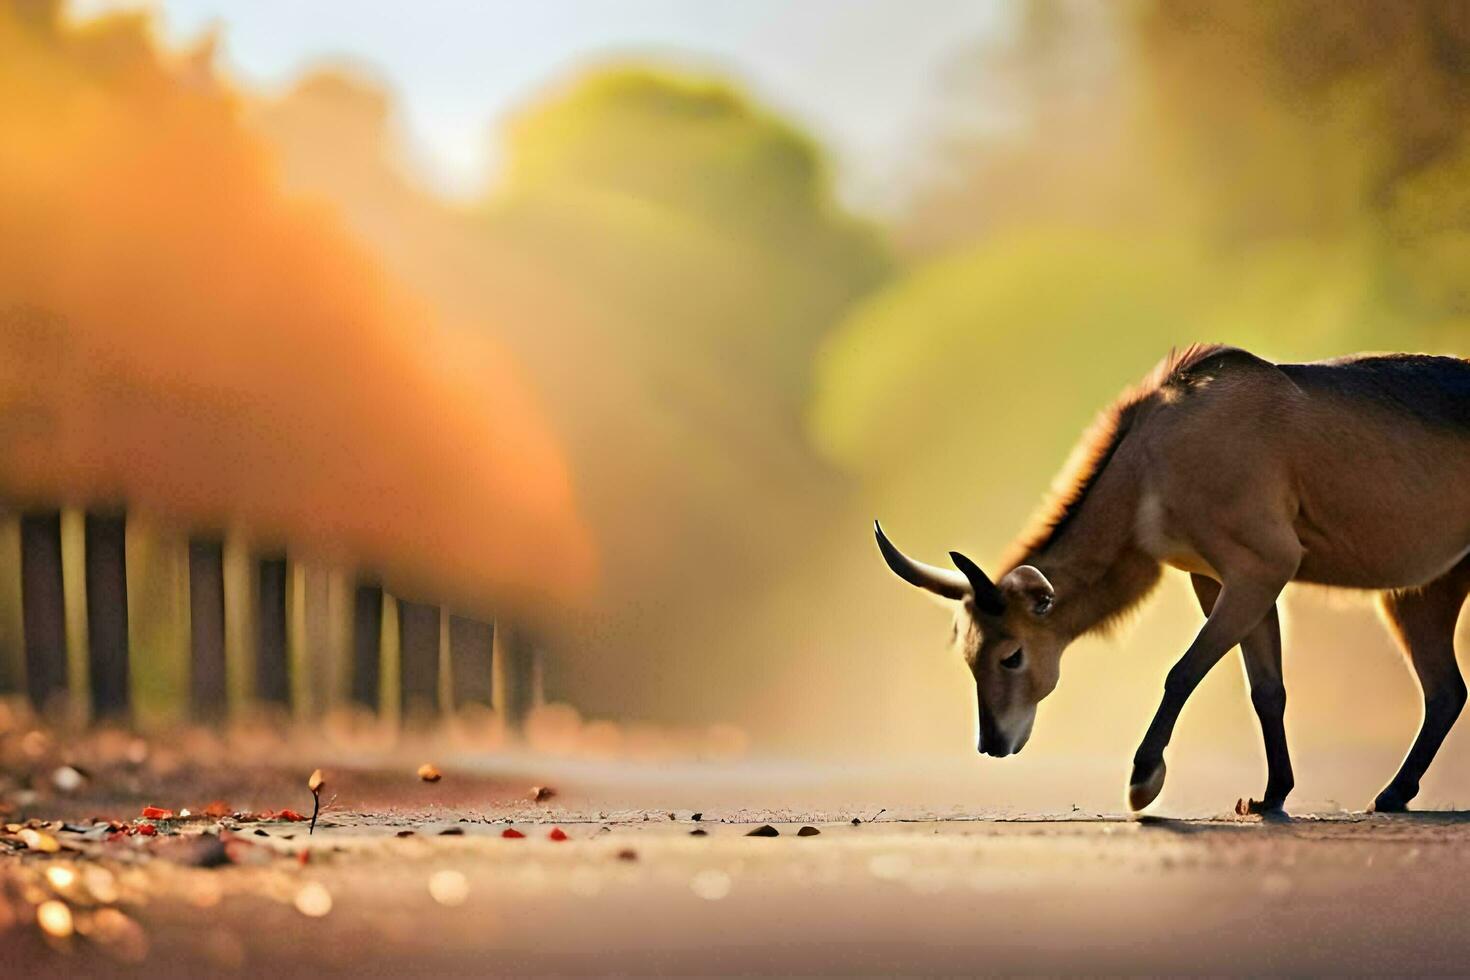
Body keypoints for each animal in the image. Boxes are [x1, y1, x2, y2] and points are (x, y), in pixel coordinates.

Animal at [876, 345, 1470, 811]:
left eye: (1011, 655)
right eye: (968, 655)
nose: (993, 741)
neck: (1150, 465)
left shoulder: (1265, 564)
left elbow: (1183, 671)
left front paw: (1144, 779)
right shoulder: (1217, 578)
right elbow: (1266, 689)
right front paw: (1271, 795)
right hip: (1421, 590)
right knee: (1445, 691)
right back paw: (1393, 793)